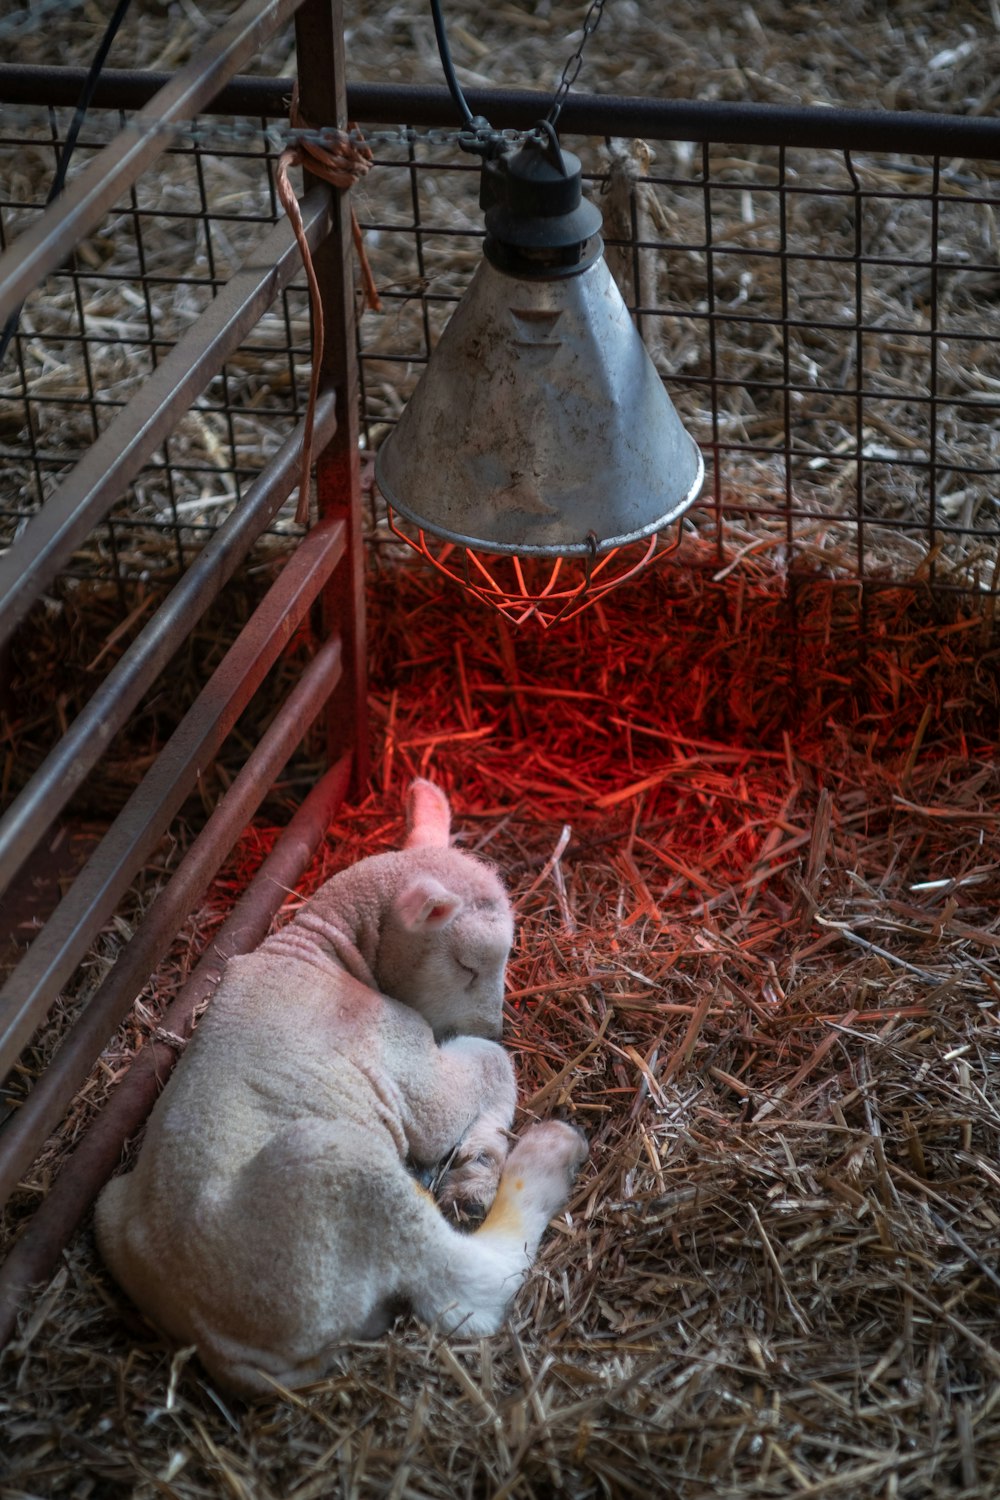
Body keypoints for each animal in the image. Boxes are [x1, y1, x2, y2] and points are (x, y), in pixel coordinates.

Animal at [95, 780, 587, 1398]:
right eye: (468, 965)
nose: (494, 1026)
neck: (324, 950)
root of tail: (217, 1341)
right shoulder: (407, 1067)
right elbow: (489, 1070)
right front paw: (480, 1153)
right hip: (333, 1168)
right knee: (469, 1287)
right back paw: (544, 1157)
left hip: (110, 1205)